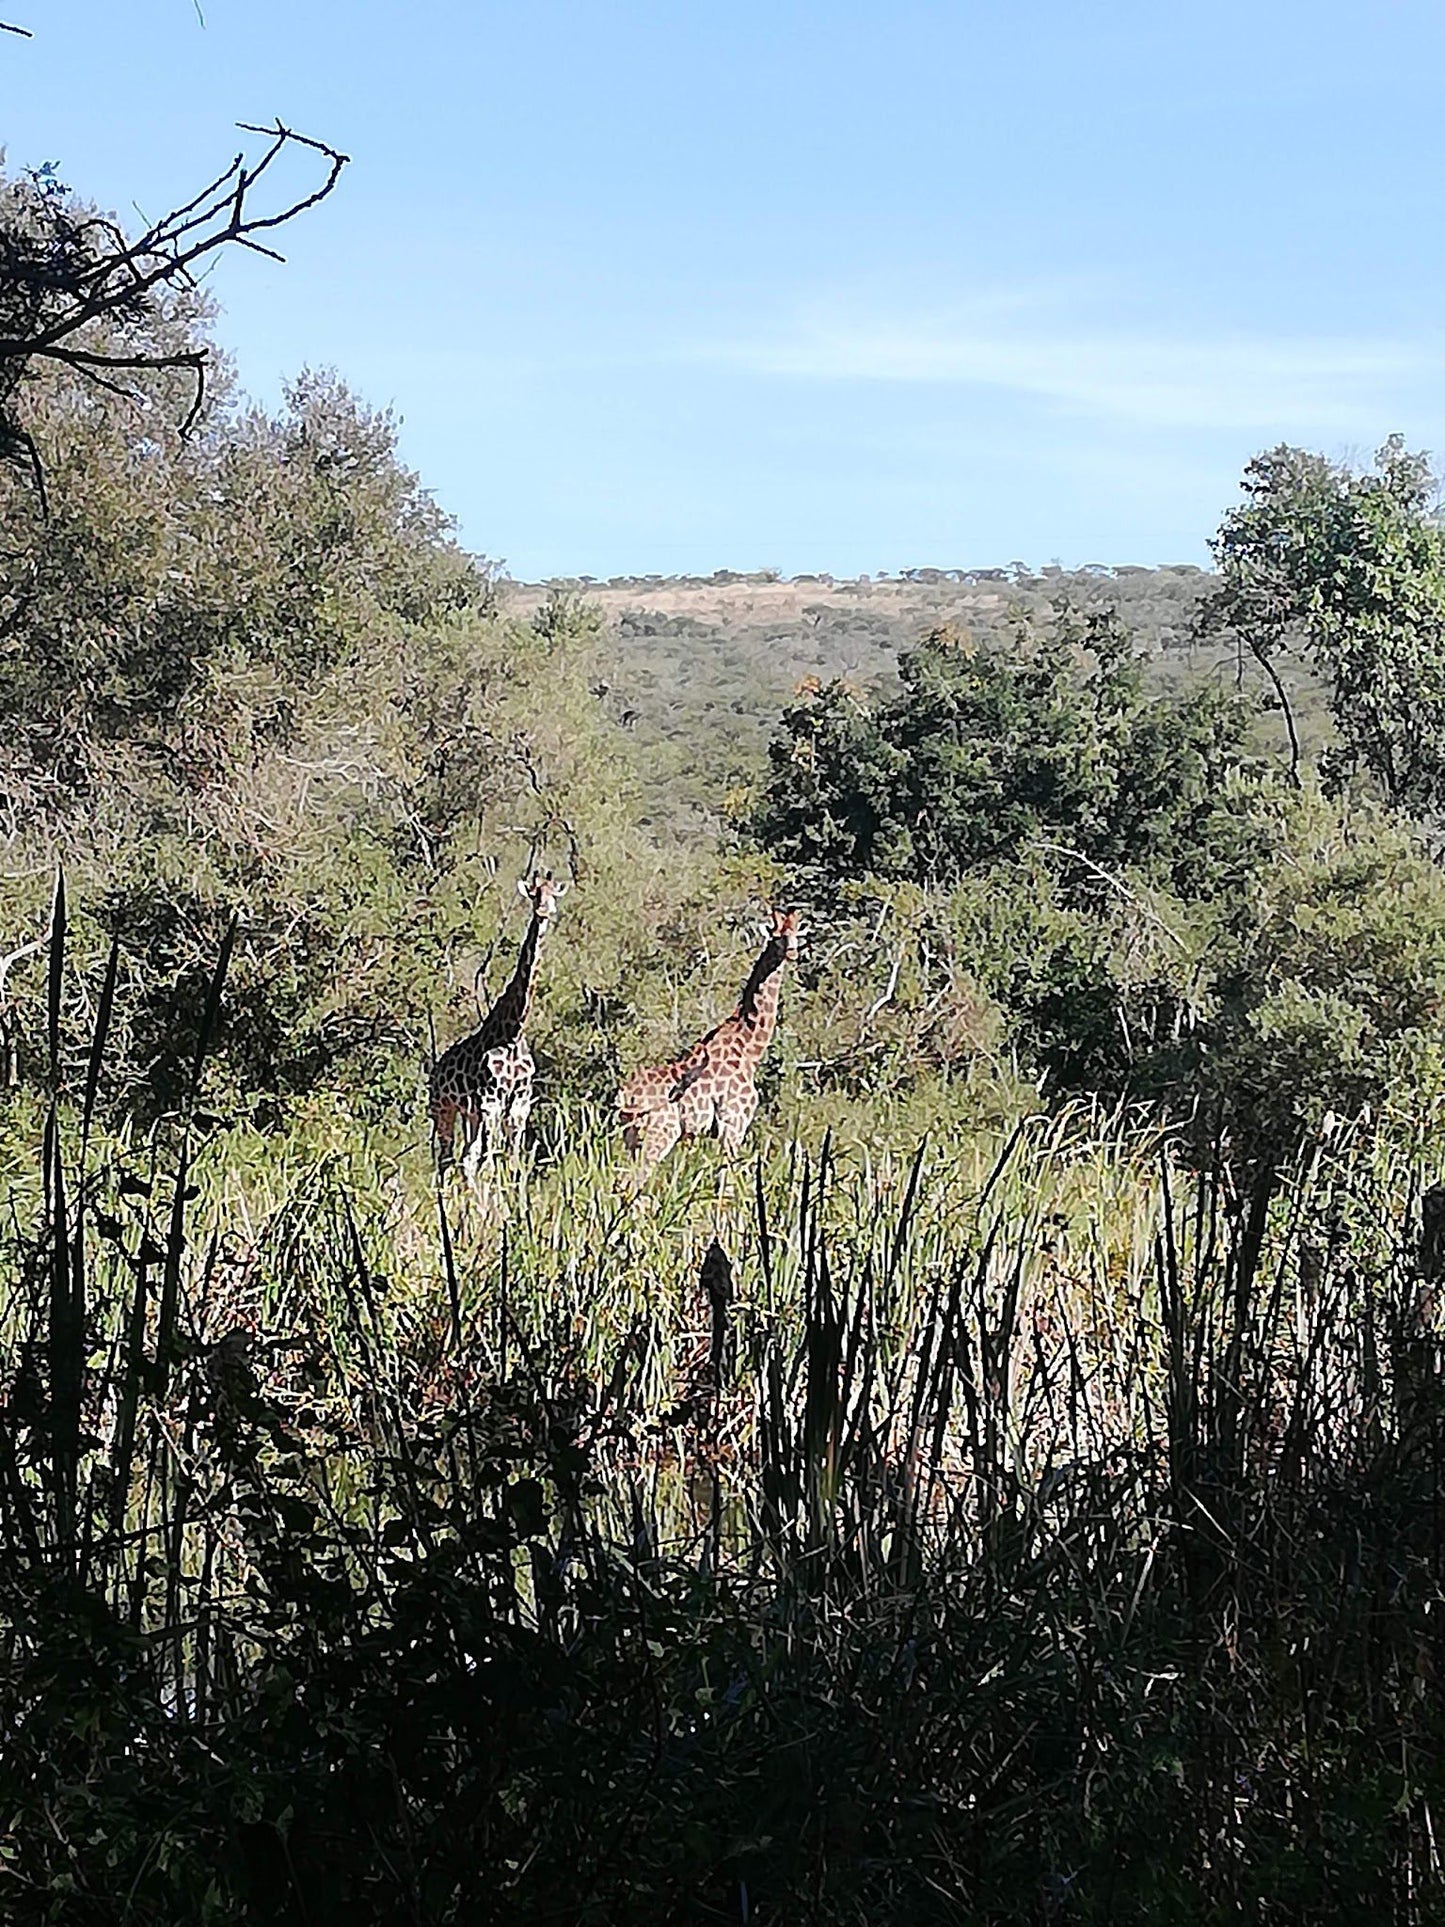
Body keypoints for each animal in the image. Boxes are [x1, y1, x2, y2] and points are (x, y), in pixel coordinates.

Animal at [429, 871, 566, 1171]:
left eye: (553, 894)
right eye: (534, 893)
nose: (545, 911)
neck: (513, 1032)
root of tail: (436, 1068)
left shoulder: (519, 1104)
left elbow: (512, 1162)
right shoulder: (491, 1101)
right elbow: (490, 1163)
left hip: (470, 1114)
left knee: (466, 1159)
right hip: (442, 1107)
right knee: (445, 1159)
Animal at [620, 905, 809, 1171]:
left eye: (795, 935)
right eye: (777, 937)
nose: (792, 953)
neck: (749, 1048)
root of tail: (626, 1097)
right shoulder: (734, 1122)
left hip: (632, 1137)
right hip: (661, 1133)